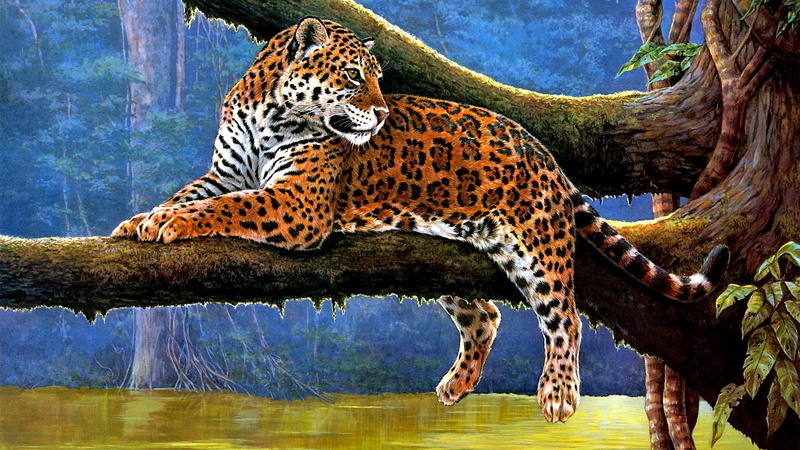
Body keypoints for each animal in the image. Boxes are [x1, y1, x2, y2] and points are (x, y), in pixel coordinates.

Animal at [113, 17, 728, 423]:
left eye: (379, 78)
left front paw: (166, 225)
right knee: (486, 316)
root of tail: (540, 146)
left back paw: (557, 394)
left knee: (565, 316)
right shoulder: (226, 172)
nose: (384, 112)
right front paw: (140, 219)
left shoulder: (297, 202)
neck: (269, 113)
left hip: (538, 245)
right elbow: (195, 193)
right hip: (447, 252)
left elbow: (228, 206)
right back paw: (455, 386)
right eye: (353, 76)